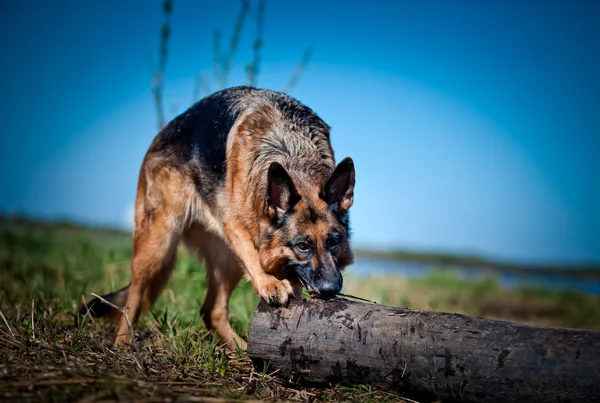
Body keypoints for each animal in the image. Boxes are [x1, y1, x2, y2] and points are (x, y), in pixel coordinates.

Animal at [84, 86, 356, 350]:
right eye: (302, 246)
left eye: (334, 242)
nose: (331, 290)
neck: (291, 153)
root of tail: (162, 135)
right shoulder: (234, 225)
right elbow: (256, 259)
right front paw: (271, 284)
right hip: (158, 245)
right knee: (132, 299)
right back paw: (122, 343)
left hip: (225, 260)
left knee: (211, 311)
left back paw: (242, 351)